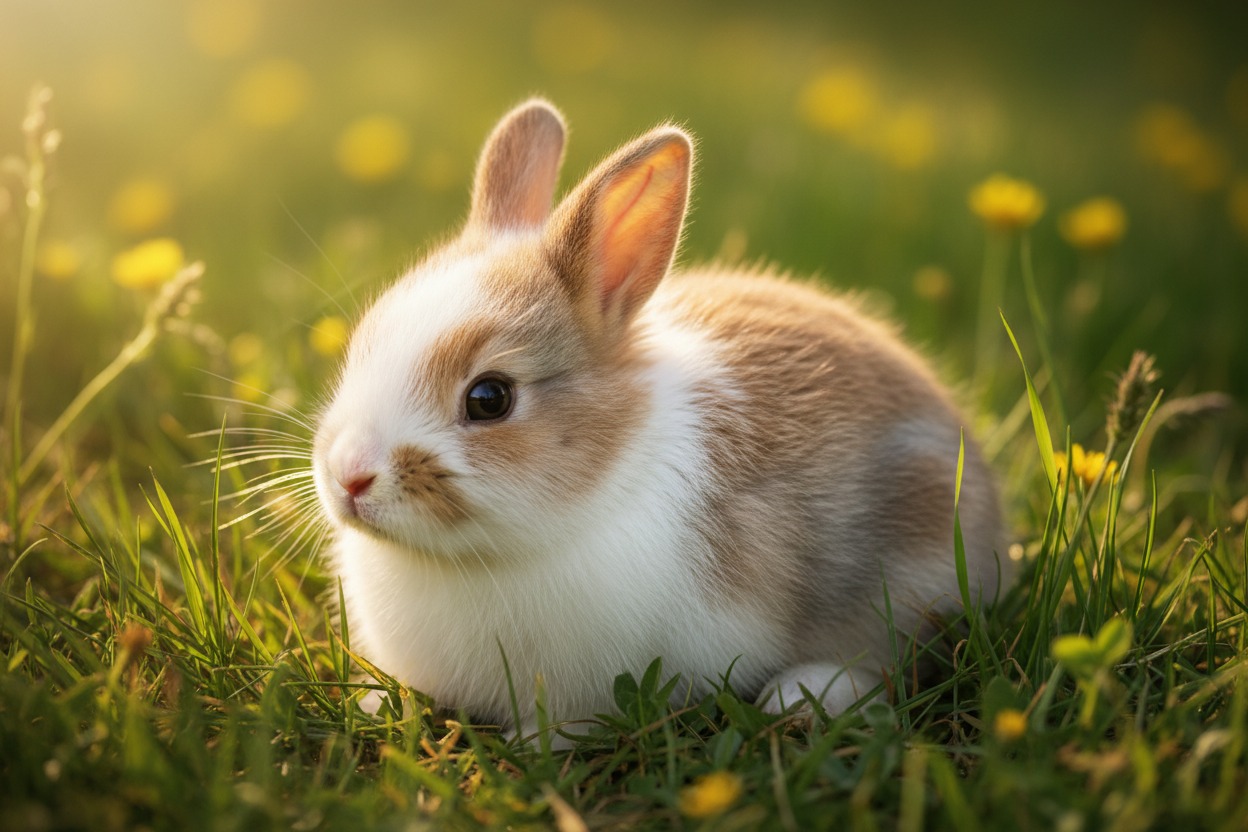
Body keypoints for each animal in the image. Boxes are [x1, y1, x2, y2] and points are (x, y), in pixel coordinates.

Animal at [311, 98, 1006, 738]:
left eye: (490, 398)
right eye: (365, 340)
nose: (349, 478)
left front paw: (532, 744)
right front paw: (375, 706)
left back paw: (806, 695)